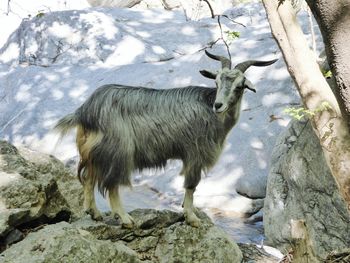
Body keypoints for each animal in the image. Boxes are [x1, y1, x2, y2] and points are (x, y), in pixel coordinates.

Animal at [54, 50, 276, 228]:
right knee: (111, 183)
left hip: (93, 152)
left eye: (239, 86)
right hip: (118, 150)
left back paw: (95, 213)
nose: (218, 105)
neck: (210, 111)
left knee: (88, 178)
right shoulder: (194, 154)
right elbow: (191, 186)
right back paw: (125, 218)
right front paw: (192, 218)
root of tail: (86, 110)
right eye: (217, 81)